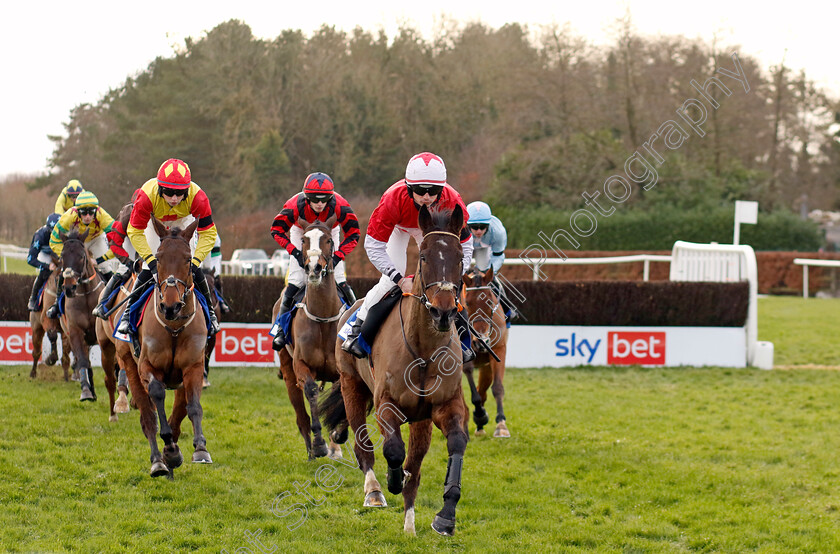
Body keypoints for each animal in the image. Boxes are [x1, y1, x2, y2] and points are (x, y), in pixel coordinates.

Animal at [56, 229, 117, 414]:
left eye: (82, 256)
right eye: (62, 256)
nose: (69, 288)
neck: (86, 296)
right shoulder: (75, 332)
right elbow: (83, 361)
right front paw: (85, 391)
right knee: (86, 361)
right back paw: (92, 392)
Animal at [123, 218, 212, 476]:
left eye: (187, 259)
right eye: (159, 258)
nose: (170, 306)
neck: (174, 326)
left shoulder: (193, 366)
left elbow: (193, 407)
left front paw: (200, 449)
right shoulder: (147, 366)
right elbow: (157, 395)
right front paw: (169, 448)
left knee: (179, 413)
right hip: (128, 364)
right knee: (147, 417)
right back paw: (159, 461)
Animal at [270, 215, 346, 458]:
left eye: (329, 240)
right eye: (303, 240)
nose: (314, 267)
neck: (323, 317)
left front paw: (337, 437)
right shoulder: (301, 365)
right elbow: (311, 391)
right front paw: (319, 443)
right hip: (287, 370)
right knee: (300, 414)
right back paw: (311, 448)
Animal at [322, 204, 470, 536]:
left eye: (460, 258)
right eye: (424, 256)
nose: (443, 312)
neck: (424, 352)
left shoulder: (445, 404)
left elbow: (454, 445)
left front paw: (446, 515)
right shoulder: (385, 404)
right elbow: (392, 450)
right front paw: (391, 480)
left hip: (420, 420)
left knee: (414, 467)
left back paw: (409, 525)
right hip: (352, 386)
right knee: (363, 445)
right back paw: (375, 491)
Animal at [462, 266, 508, 438]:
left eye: (490, 301)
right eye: (467, 303)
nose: (481, 341)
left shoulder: (499, 350)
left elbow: (497, 387)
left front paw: (501, 424)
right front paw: (479, 414)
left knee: (483, 389)